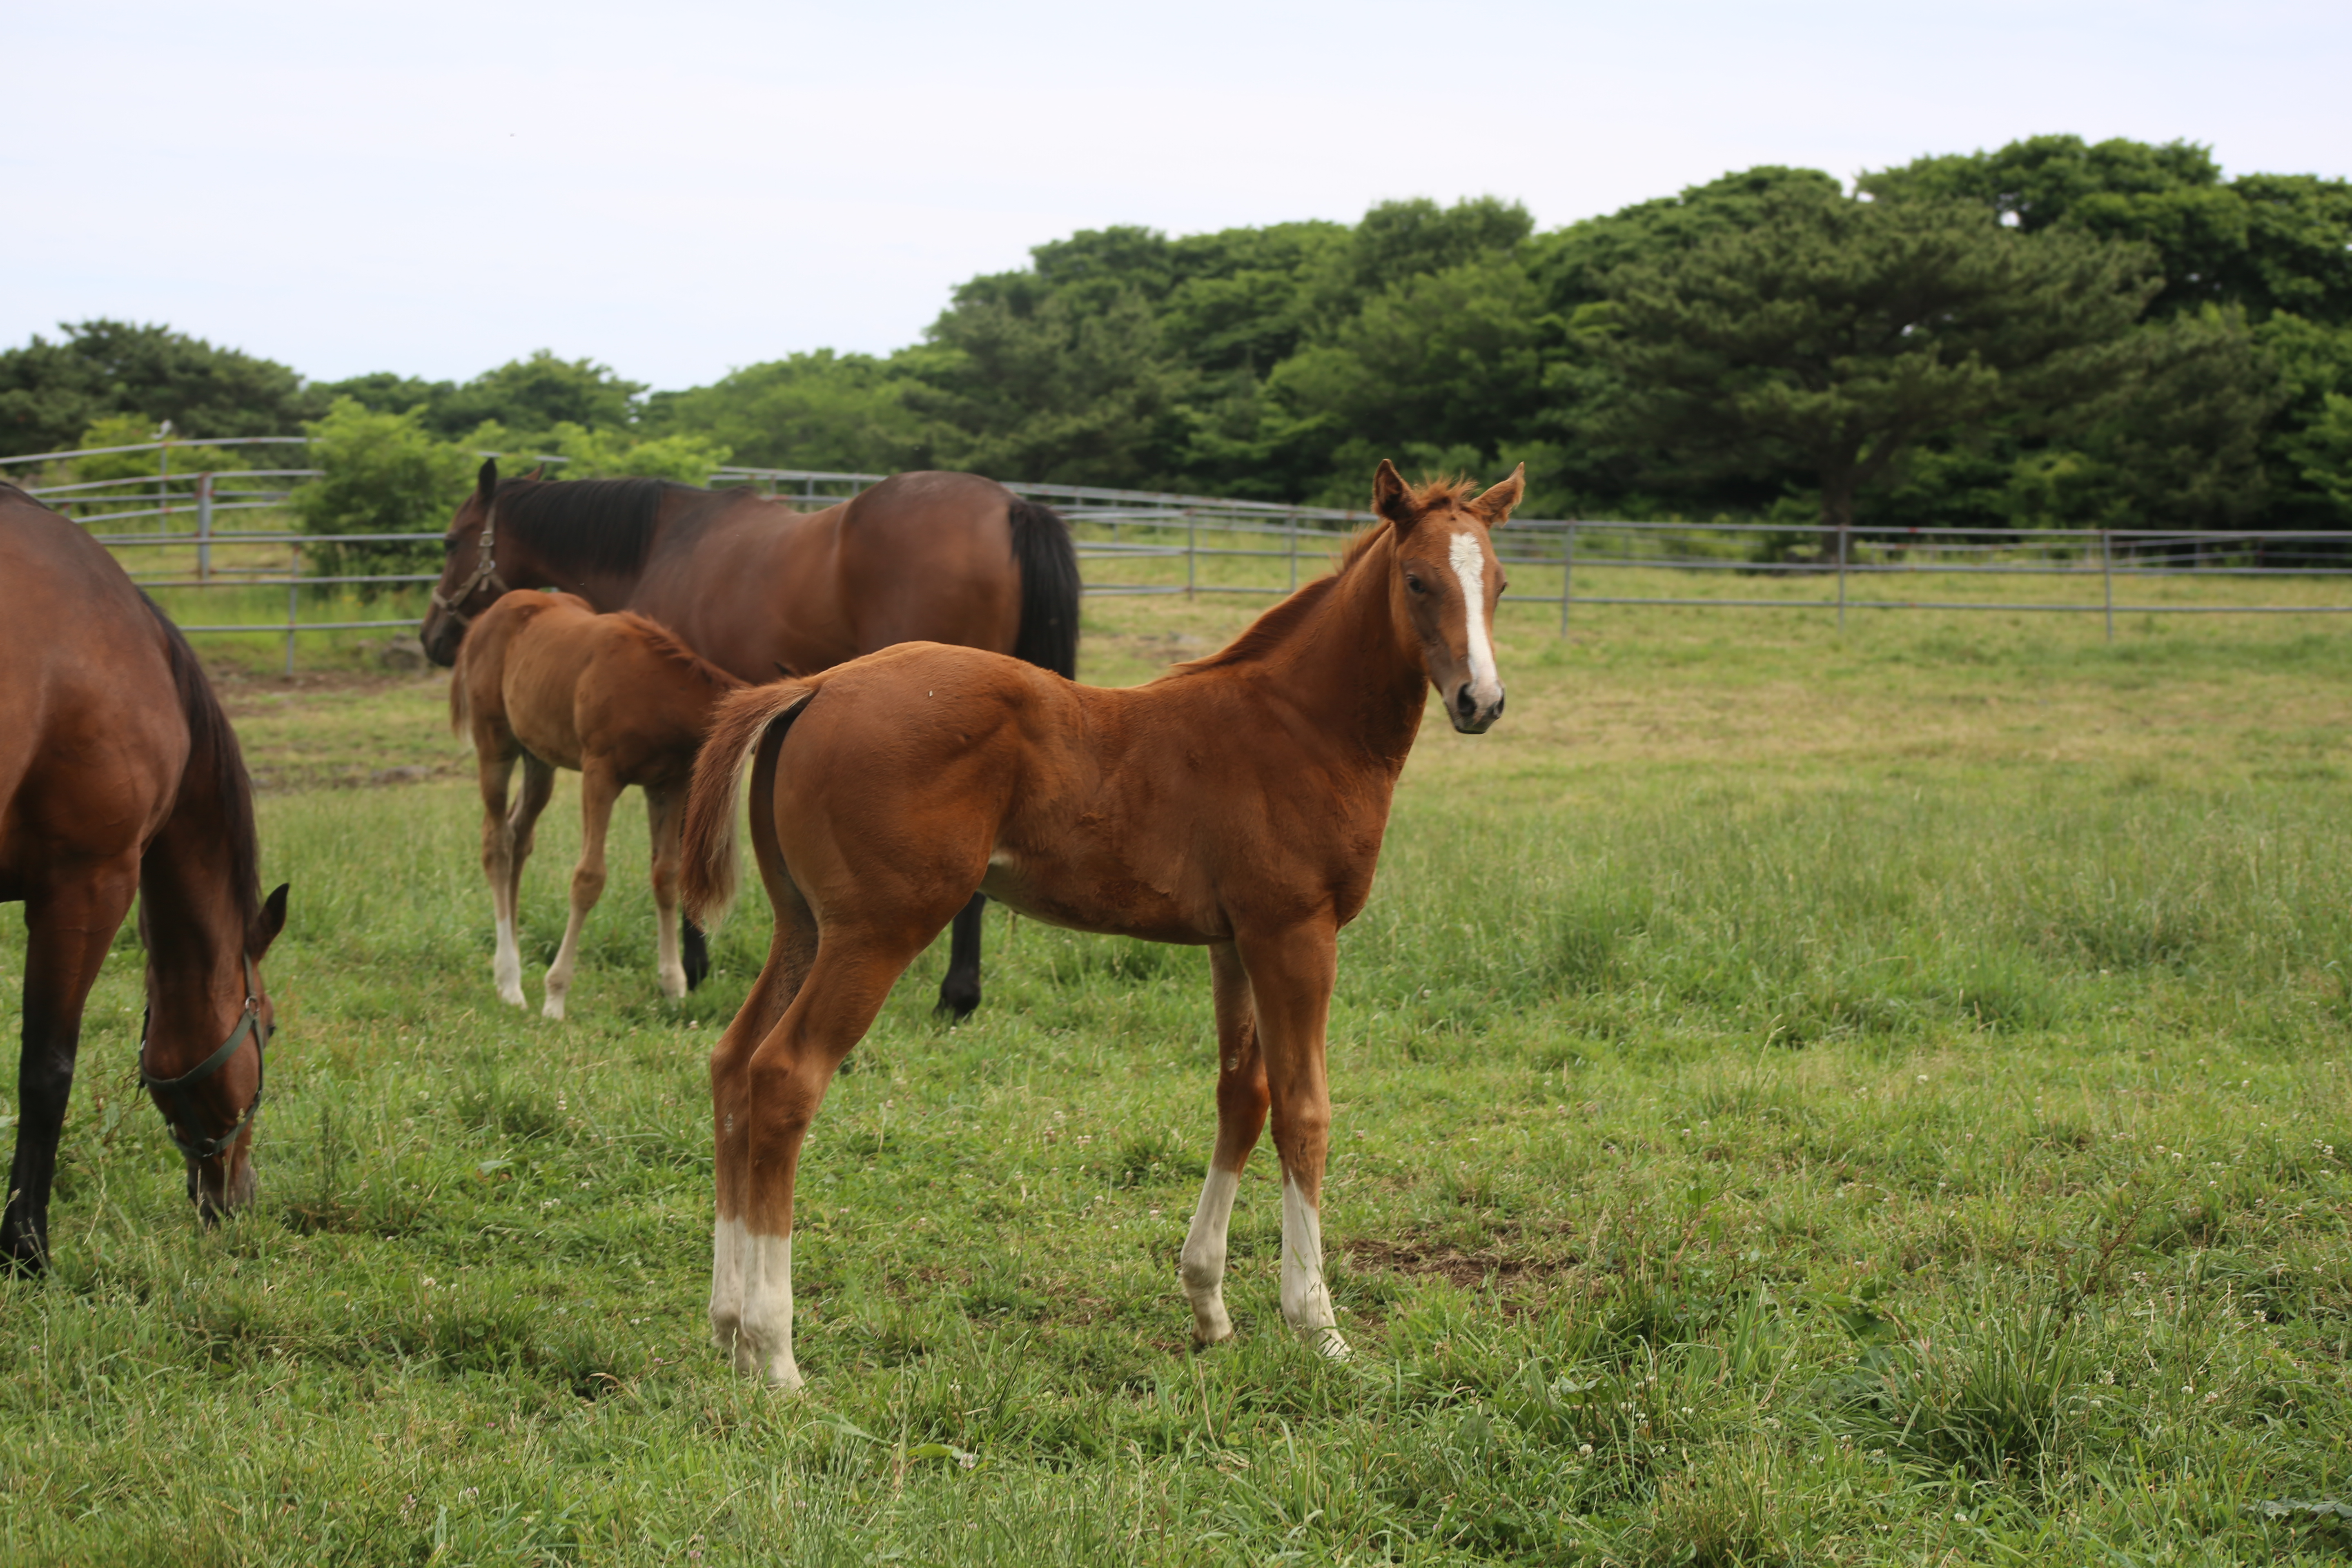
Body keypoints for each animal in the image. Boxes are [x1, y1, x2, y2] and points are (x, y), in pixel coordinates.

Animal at [456, 588, 748, 1020]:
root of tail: (484, 618)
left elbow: (667, 876)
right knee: (496, 843)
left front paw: (673, 988)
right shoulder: (600, 774)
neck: (660, 689)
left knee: (518, 837)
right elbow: (588, 878)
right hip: (496, 746)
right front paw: (555, 997)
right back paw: (510, 983)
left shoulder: (669, 784)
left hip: (539, 758)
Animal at [682, 461, 1524, 1392]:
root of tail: (817, 686)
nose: (1480, 701)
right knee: (785, 1077)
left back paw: (727, 1329)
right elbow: (1305, 1112)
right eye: (1417, 580)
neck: (1301, 726)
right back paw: (777, 1354)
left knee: (733, 1064)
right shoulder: (1297, 933)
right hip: (877, 931)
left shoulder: (1234, 943)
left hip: (803, 926)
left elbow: (1243, 1097)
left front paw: (1209, 1307)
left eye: (1499, 584)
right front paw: (1319, 1327)